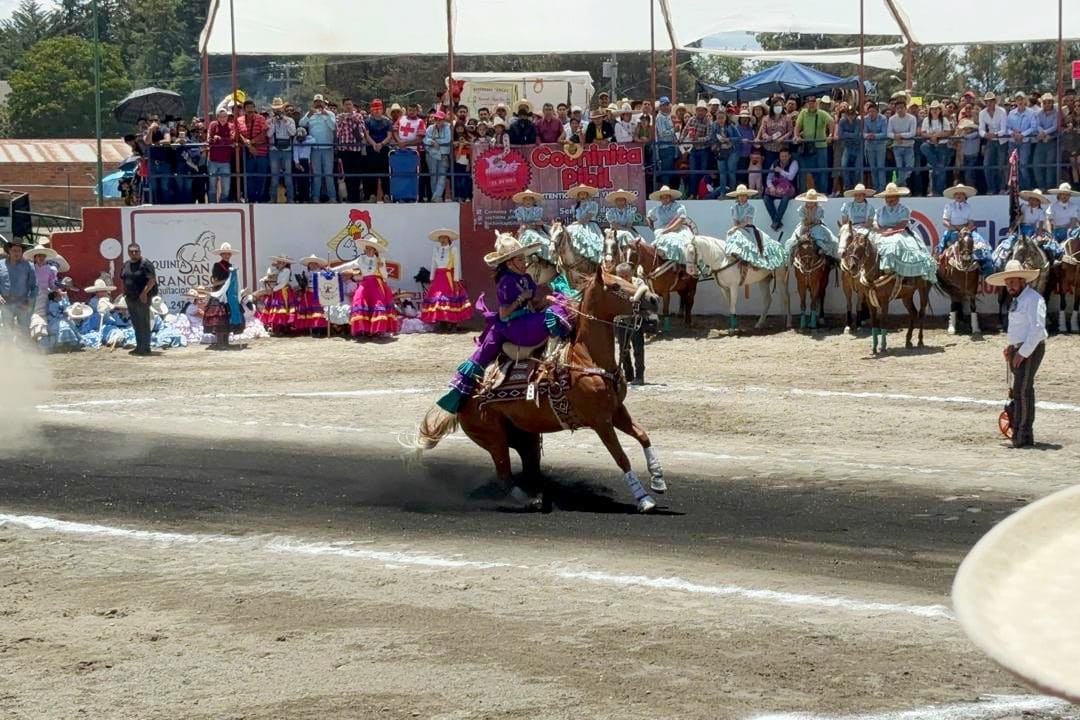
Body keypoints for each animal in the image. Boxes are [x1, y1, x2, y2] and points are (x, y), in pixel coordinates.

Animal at [412, 263, 665, 511]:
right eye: (615, 286)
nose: (653, 299)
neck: (586, 358)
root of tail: (465, 397)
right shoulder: (600, 421)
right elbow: (621, 457)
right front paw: (644, 499)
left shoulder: (616, 411)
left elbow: (643, 436)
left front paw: (658, 479)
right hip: (493, 438)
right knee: (504, 475)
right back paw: (528, 500)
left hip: (525, 437)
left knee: (529, 469)